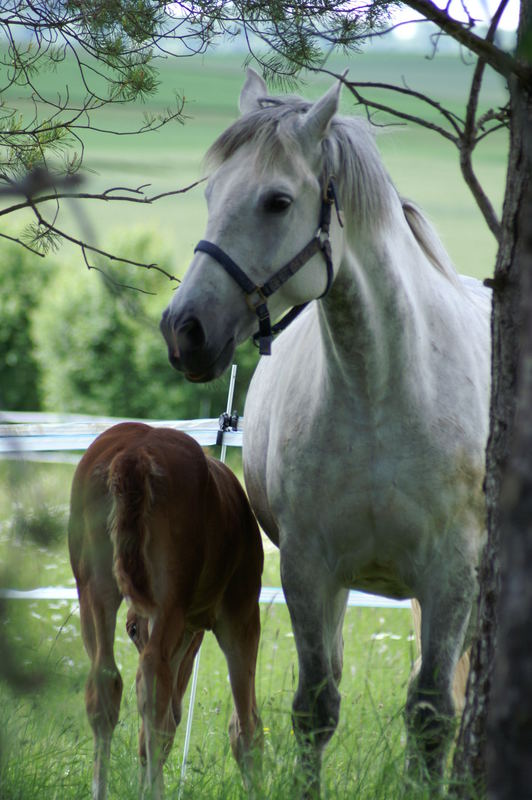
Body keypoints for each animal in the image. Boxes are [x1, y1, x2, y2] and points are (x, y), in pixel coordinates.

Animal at [160, 69, 492, 792]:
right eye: (210, 194)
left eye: (278, 201)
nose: (184, 330)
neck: (383, 392)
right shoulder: (311, 571)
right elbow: (316, 707)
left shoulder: (451, 573)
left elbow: (431, 713)